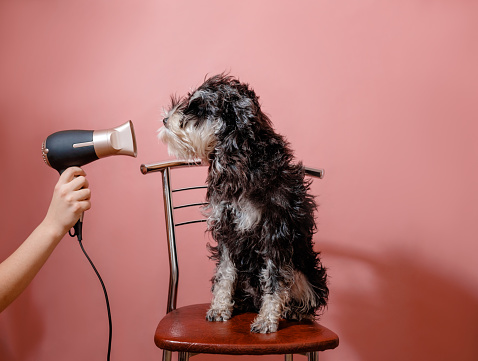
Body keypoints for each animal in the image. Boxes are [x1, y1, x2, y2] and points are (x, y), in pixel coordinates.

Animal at [159, 74, 326, 334]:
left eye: (199, 108)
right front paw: (220, 307)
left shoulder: (275, 232)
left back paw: (294, 312)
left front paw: (267, 319)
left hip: (307, 272)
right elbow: (224, 273)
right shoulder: (227, 229)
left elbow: (275, 279)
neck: (238, 161)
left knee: (303, 294)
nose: (166, 120)